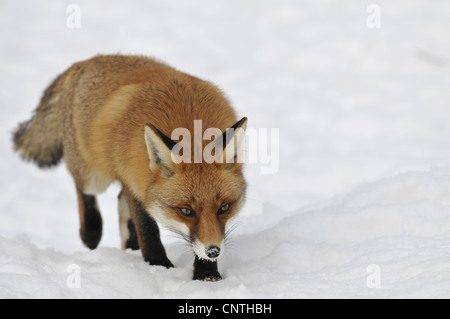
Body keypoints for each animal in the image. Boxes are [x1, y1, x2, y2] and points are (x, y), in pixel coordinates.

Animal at [13, 55, 246, 282]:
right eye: (186, 211)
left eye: (225, 207)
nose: (213, 251)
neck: (190, 127)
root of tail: (84, 62)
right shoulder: (136, 181)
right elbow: (147, 228)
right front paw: (158, 265)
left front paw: (207, 273)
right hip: (93, 178)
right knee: (84, 191)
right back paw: (91, 232)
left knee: (119, 201)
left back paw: (130, 248)